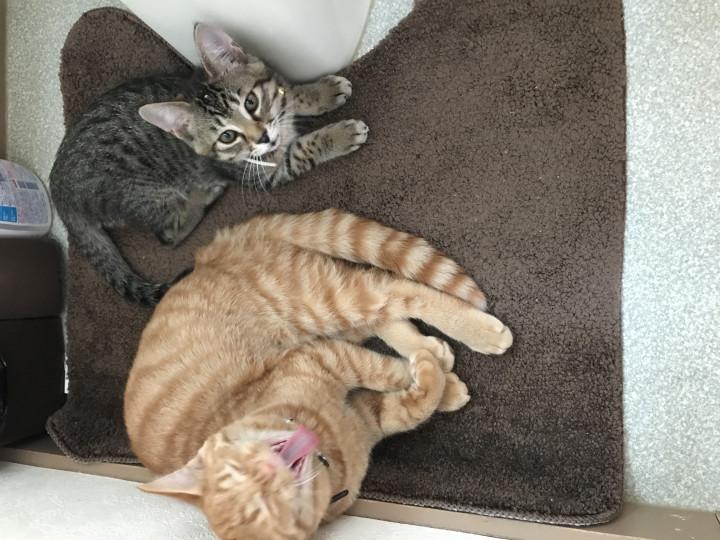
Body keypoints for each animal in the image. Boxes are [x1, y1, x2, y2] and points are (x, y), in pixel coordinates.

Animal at [50, 24, 368, 305]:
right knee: (169, 235)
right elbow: (302, 150)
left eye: (251, 102)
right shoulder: (261, 173)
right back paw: (203, 196)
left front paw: (321, 92)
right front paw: (340, 134)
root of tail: (59, 190)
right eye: (227, 136)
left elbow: (289, 94)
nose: (263, 136)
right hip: (146, 194)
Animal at [124, 208, 513, 540]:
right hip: (325, 318)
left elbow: (383, 370)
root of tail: (206, 254)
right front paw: (440, 383)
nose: (272, 467)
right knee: (383, 312)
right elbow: (403, 397)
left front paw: (439, 383)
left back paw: (480, 332)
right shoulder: (362, 406)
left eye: (242, 464)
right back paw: (431, 347)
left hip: (317, 300)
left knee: (398, 290)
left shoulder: (321, 356)